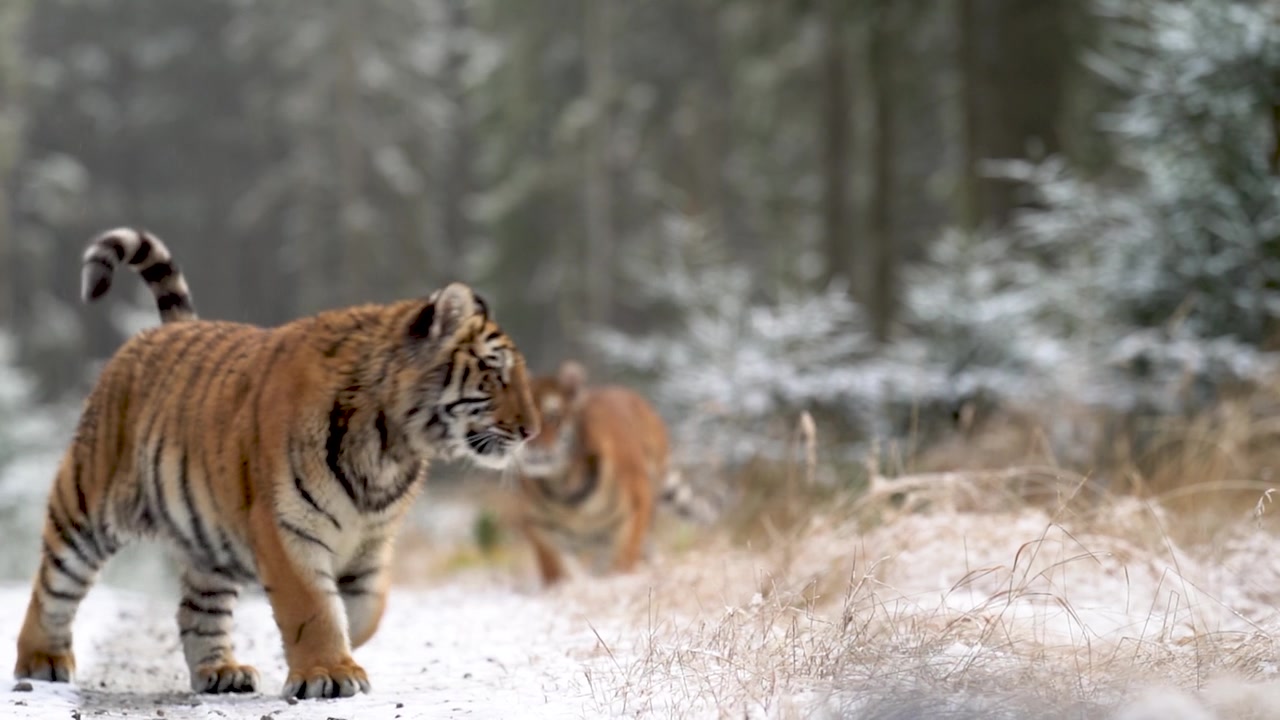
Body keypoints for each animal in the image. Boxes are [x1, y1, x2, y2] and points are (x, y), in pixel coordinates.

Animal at [13, 228, 539, 700]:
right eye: (496, 374)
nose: (532, 431)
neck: (394, 446)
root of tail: (165, 330)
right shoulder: (286, 527)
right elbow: (312, 604)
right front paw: (329, 672)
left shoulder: (372, 539)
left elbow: (368, 604)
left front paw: (346, 643)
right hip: (87, 504)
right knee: (53, 585)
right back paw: (42, 661)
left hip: (209, 542)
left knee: (197, 610)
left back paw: (220, 672)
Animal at [513, 360, 680, 587]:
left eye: (552, 416)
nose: (528, 444)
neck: (565, 488)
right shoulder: (538, 524)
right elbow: (556, 568)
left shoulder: (636, 505)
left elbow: (624, 555)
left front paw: (619, 581)